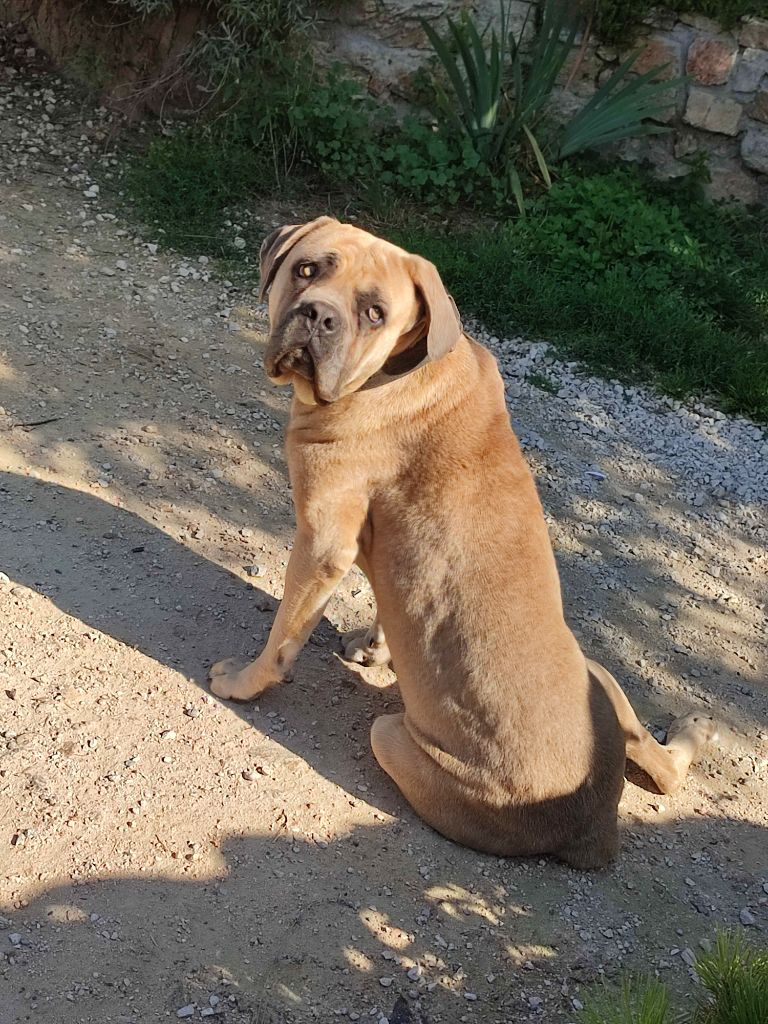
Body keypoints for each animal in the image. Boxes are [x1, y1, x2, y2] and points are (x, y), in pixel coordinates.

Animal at [208, 220, 716, 868]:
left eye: (374, 312)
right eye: (307, 269)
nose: (317, 316)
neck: (397, 369)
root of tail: (591, 824)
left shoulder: (320, 545)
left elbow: (280, 642)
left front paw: (243, 682)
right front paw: (376, 647)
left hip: (389, 734)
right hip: (600, 672)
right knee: (661, 768)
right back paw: (695, 730)